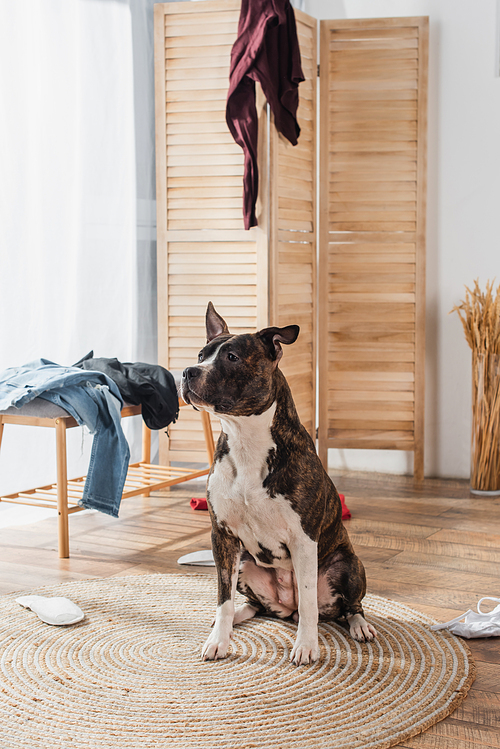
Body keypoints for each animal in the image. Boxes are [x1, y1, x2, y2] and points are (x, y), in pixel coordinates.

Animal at [180, 300, 376, 664]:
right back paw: (237, 616)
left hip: (347, 565)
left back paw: (360, 626)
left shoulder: (303, 540)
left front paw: (306, 646)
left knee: (348, 606)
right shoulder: (222, 537)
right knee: (253, 605)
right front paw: (219, 639)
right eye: (201, 355)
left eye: (232, 357)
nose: (187, 371)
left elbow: (311, 603)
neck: (247, 441)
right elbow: (223, 598)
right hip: (244, 562)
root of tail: (286, 608)